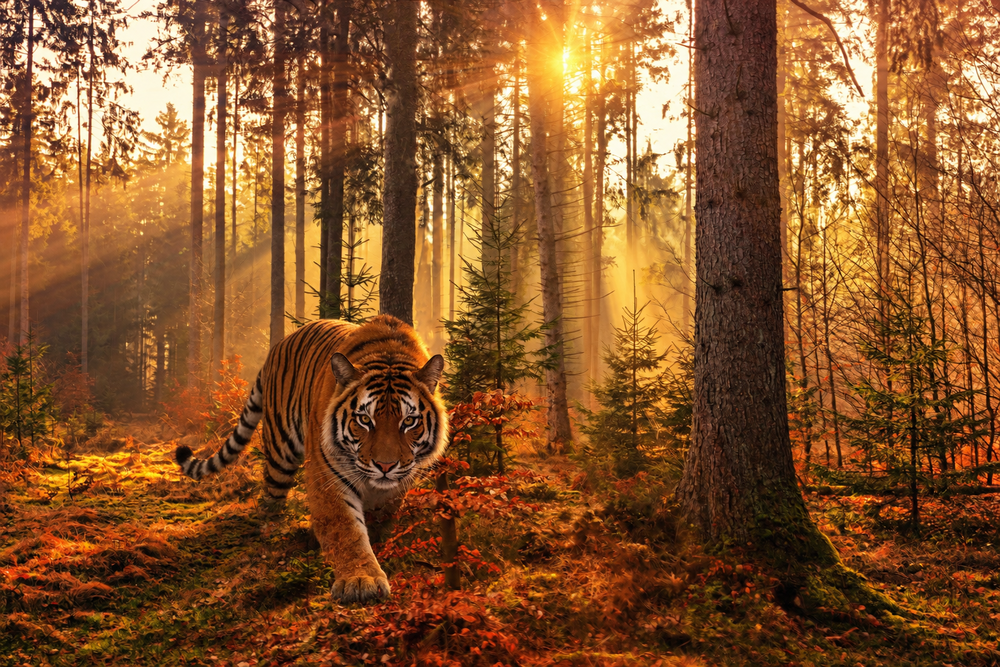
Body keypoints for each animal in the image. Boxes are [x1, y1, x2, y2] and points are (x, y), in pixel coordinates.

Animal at [175, 315, 447, 603]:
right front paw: (360, 581)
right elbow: (346, 529)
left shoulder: (400, 483)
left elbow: (382, 515)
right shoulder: (328, 476)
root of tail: (277, 346)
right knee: (270, 498)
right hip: (280, 452)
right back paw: (270, 534)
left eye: (409, 421)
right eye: (364, 419)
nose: (385, 465)